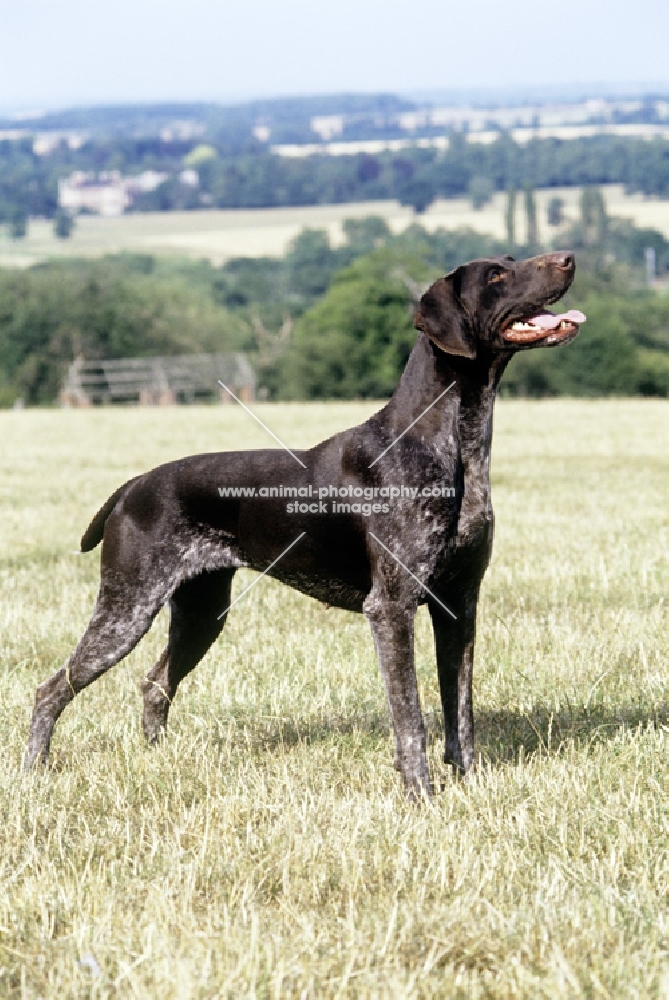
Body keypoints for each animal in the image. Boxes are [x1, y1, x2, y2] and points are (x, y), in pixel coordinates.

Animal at [23, 254, 580, 800]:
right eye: (497, 274)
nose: (569, 259)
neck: (449, 442)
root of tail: (133, 485)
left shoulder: (459, 603)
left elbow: (459, 710)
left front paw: (469, 782)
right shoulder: (391, 606)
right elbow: (411, 717)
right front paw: (420, 794)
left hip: (201, 613)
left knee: (154, 682)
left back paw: (156, 759)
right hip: (127, 609)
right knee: (52, 689)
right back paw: (33, 771)